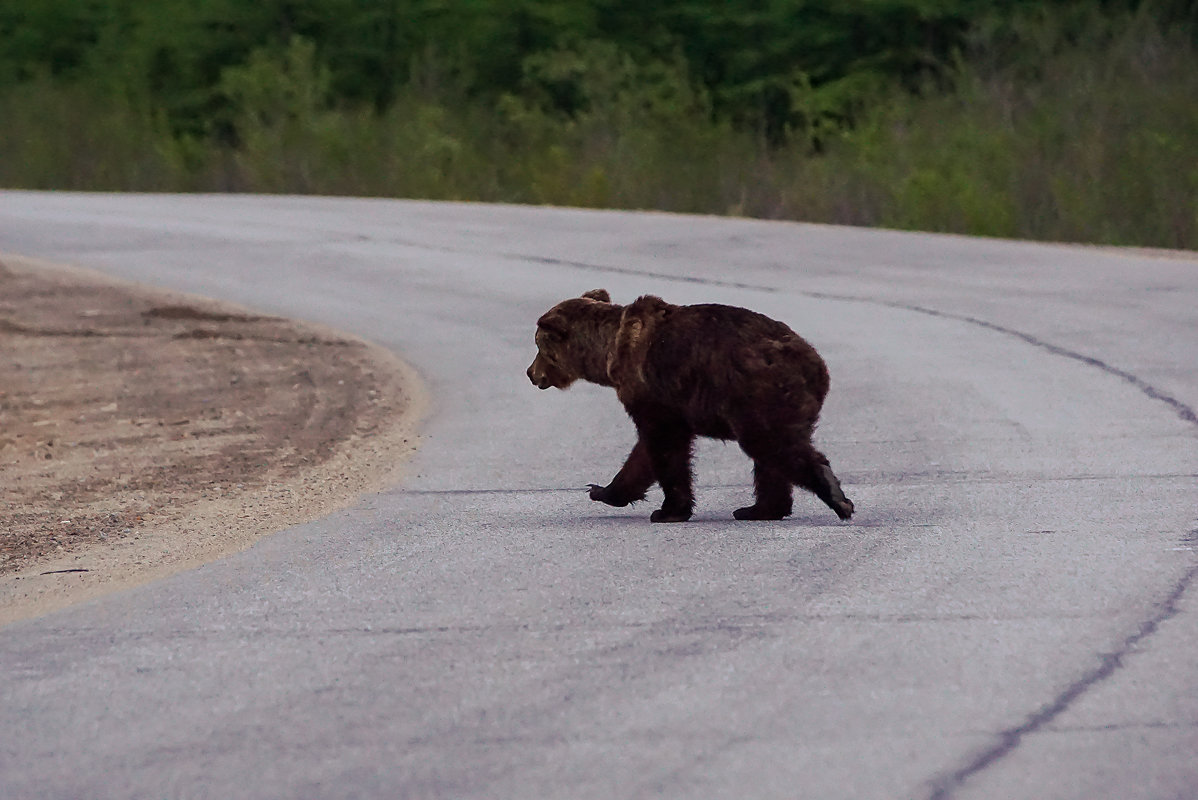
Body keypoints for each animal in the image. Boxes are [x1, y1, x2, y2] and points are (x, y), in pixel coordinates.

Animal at [524, 291, 852, 522]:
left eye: (538, 345)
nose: (530, 373)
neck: (607, 354)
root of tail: (812, 362)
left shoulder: (652, 391)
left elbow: (665, 449)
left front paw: (668, 510)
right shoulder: (667, 405)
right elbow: (643, 455)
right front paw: (603, 490)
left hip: (756, 394)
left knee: (773, 446)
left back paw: (835, 496)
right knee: (770, 457)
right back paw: (758, 509)